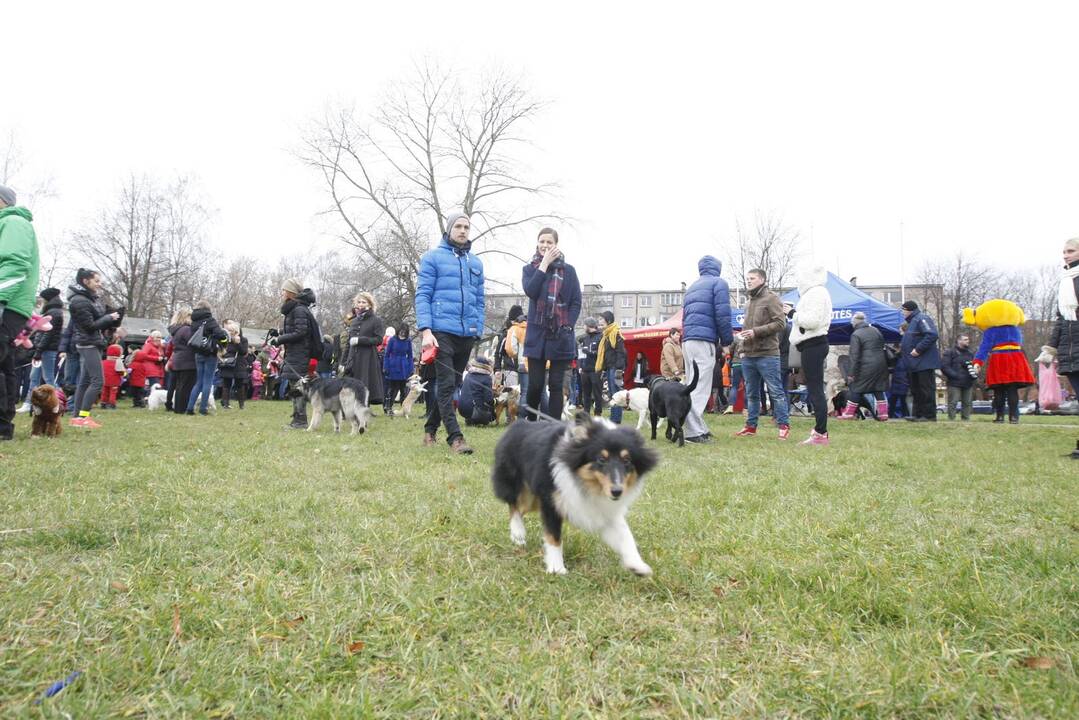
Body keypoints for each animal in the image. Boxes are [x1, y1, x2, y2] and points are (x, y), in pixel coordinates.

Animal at [489, 414, 656, 578]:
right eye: (601, 459)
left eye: (627, 460)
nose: (617, 491)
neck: (587, 485)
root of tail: (518, 424)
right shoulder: (551, 501)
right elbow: (554, 537)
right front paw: (556, 568)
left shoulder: (604, 511)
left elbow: (625, 535)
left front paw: (637, 565)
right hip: (523, 489)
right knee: (514, 506)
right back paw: (518, 534)